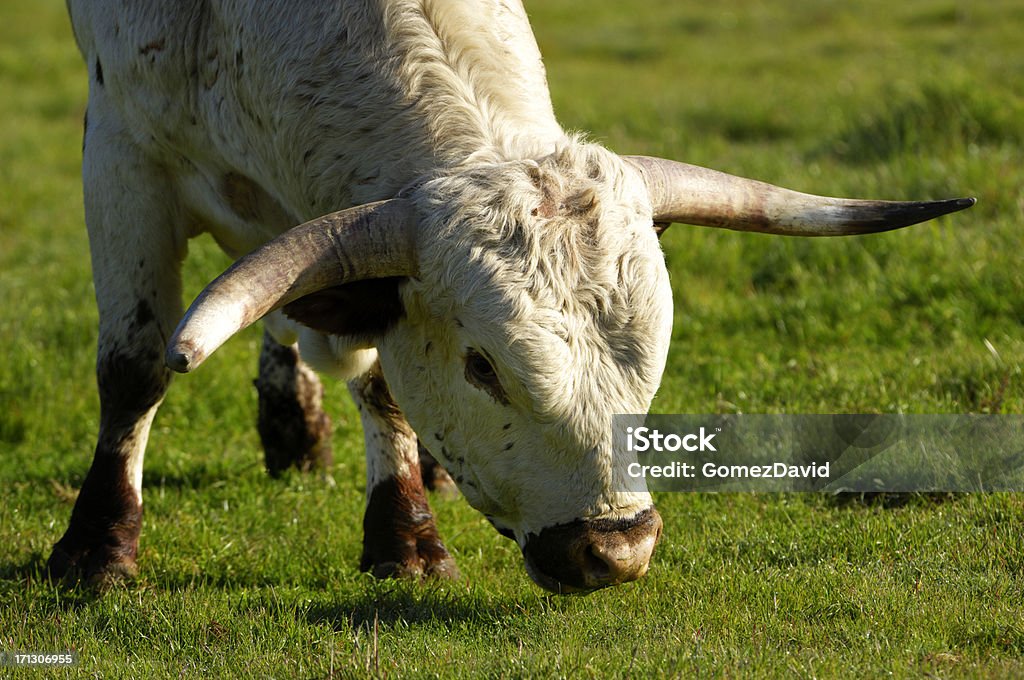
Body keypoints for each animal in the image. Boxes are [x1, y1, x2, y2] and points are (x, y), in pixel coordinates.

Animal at [49, 0, 974, 593]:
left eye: (651, 364)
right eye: (483, 367)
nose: (618, 553)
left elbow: (381, 378)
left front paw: (404, 536)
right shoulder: (121, 155)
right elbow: (136, 367)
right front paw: (96, 551)